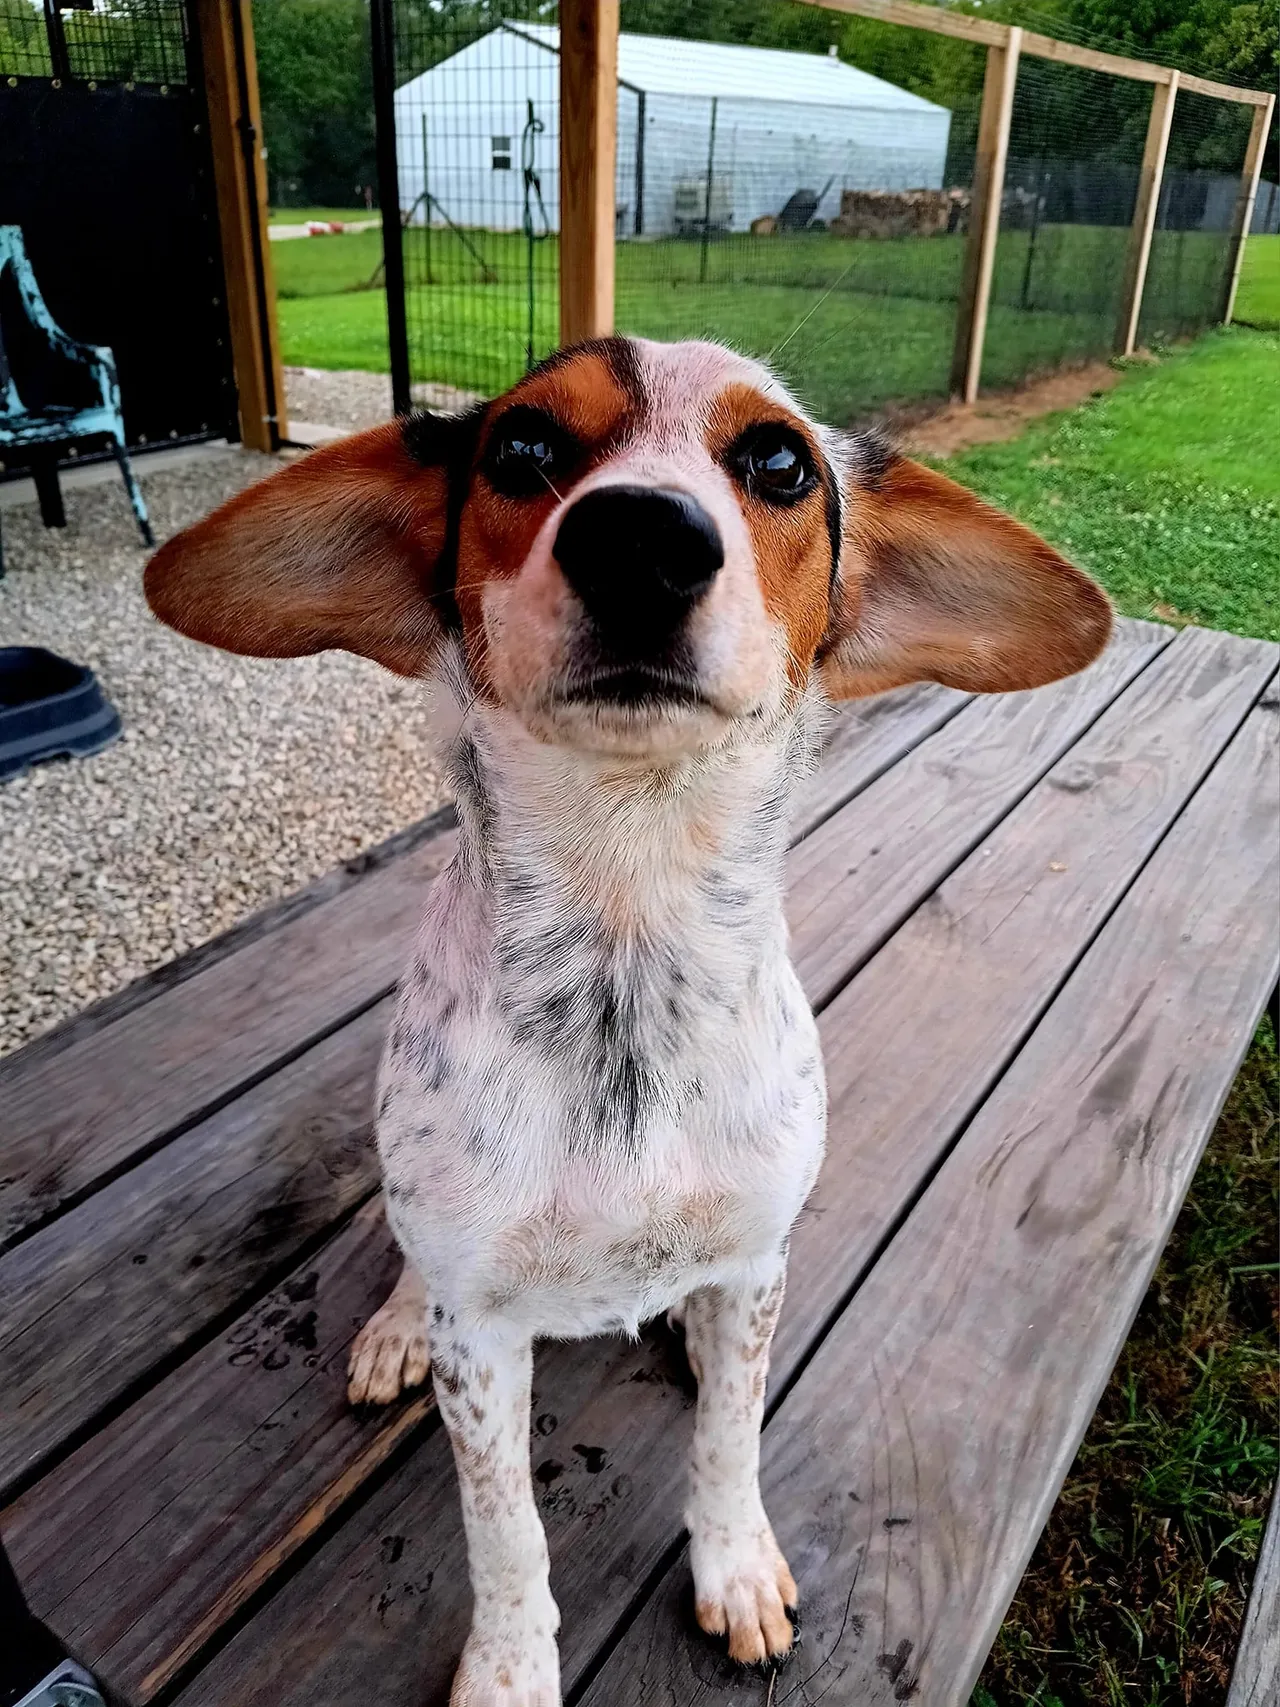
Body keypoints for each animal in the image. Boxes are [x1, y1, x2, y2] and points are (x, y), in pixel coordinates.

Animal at [147, 336, 1112, 1707]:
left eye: (778, 460)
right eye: (521, 448)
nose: (640, 538)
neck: (626, 937)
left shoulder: (754, 1266)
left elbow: (729, 1440)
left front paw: (735, 1567)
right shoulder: (484, 1338)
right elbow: (504, 1529)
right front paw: (508, 1668)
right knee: (408, 1263)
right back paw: (391, 1329)